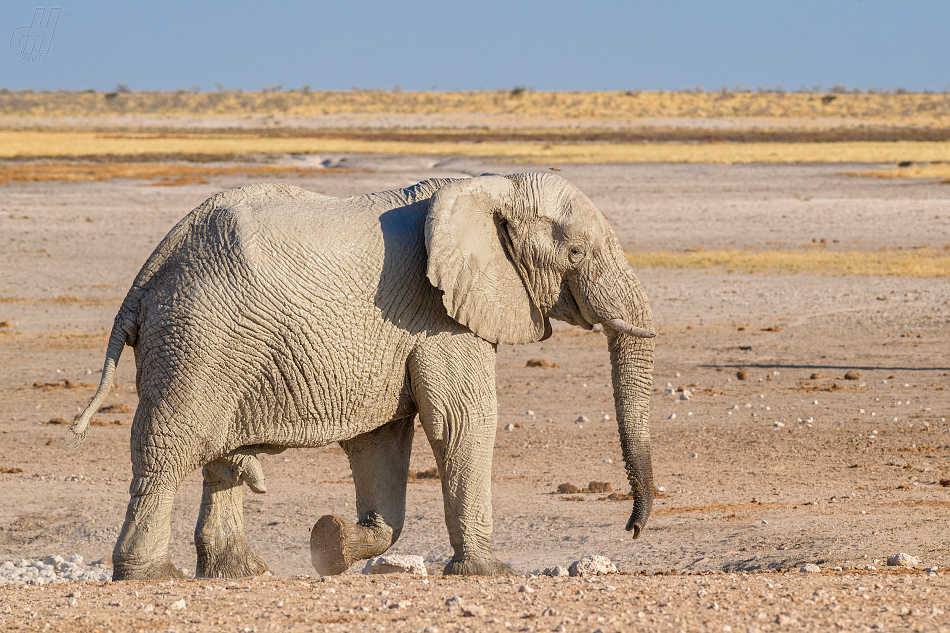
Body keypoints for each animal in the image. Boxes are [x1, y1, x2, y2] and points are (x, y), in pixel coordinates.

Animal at [70, 172, 660, 576]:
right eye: (576, 252)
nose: (633, 529)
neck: (491, 187)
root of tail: (146, 275)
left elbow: (381, 440)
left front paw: (331, 543)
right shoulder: (438, 315)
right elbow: (462, 423)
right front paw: (488, 574)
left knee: (218, 461)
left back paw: (240, 573)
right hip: (197, 340)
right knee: (168, 451)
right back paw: (150, 576)